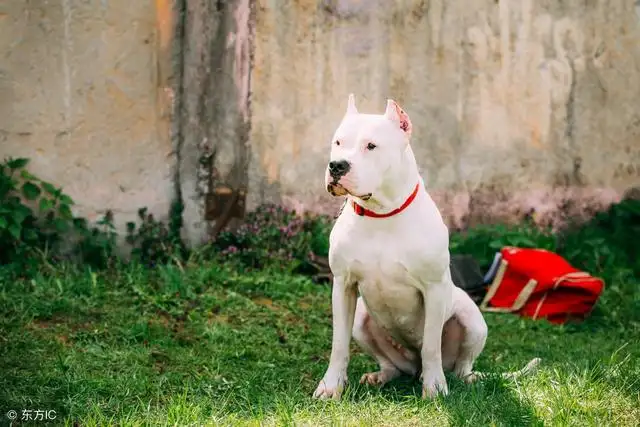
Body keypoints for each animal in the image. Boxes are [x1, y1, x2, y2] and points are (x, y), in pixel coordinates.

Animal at [312, 94, 536, 402]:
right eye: (337, 142)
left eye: (371, 146)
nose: (336, 166)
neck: (381, 214)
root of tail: (412, 364)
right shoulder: (343, 286)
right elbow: (339, 344)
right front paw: (331, 385)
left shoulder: (433, 289)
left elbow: (431, 345)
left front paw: (434, 388)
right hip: (362, 319)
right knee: (392, 364)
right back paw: (381, 376)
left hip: (472, 320)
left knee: (459, 366)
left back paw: (459, 378)